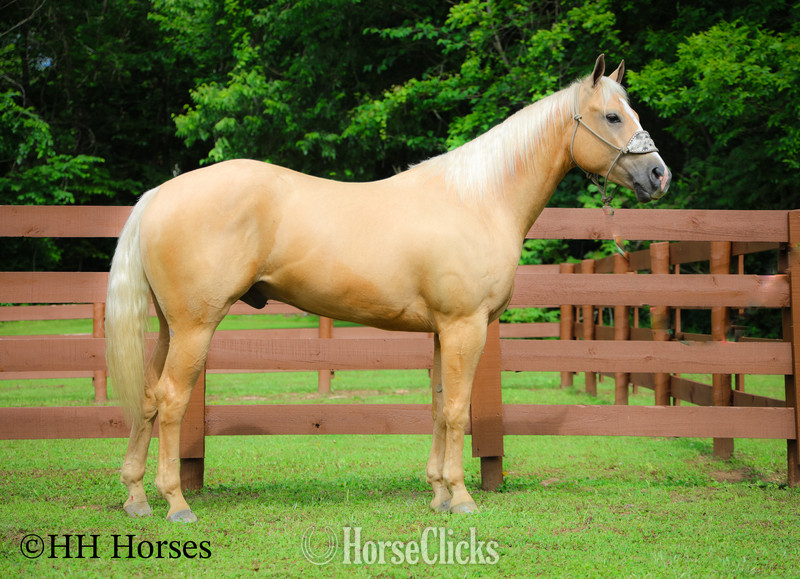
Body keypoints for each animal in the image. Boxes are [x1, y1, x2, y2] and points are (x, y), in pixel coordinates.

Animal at [106, 55, 670, 522]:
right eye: (613, 117)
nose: (659, 175)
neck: (478, 199)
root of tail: (159, 194)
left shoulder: (444, 331)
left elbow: (440, 406)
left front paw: (439, 493)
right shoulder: (466, 327)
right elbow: (456, 409)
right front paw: (461, 497)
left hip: (169, 328)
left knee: (149, 397)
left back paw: (136, 498)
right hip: (195, 327)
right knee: (172, 399)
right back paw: (176, 504)